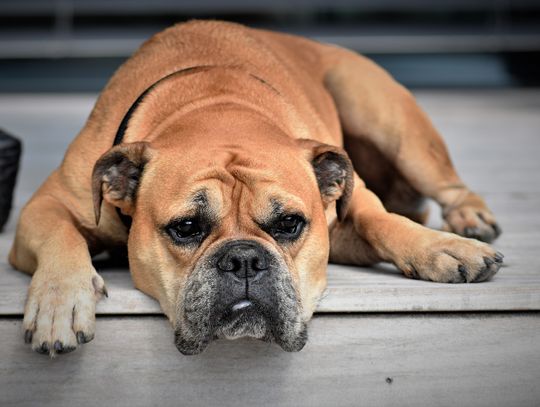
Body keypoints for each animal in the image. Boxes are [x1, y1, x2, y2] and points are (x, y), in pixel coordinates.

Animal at [8, 19, 504, 356]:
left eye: (289, 224)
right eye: (186, 228)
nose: (244, 259)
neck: (216, 107)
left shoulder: (350, 209)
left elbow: (381, 220)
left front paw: (441, 248)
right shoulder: (46, 205)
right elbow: (60, 234)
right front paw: (59, 302)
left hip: (388, 119)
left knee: (445, 186)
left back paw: (468, 220)